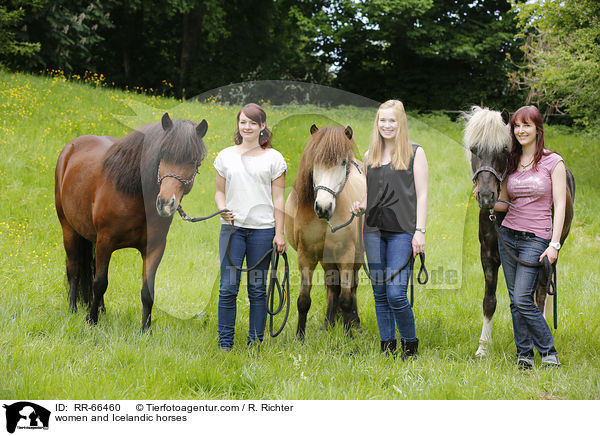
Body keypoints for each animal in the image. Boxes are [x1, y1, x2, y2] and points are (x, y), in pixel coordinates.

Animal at [54, 112, 209, 330]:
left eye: (194, 161)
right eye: (163, 154)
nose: (165, 203)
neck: (132, 193)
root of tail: (70, 148)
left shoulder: (154, 248)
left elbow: (147, 292)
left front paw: (146, 330)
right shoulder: (105, 241)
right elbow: (100, 283)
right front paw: (91, 321)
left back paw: (101, 310)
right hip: (69, 229)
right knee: (74, 268)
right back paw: (73, 309)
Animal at [284, 124, 366, 338]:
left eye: (343, 162)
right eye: (315, 160)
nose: (323, 207)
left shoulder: (346, 255)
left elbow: (346, 298)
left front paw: (348, 336)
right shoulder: (306, 255)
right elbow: (304, 300)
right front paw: (300, 337)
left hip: (356, 255)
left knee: (352, 287)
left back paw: (355, 324)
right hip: (326, 258)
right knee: (332, 287)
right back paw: (328, 324)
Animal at [464, 106, 576, 358]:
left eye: (504, 149)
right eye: (474, 149)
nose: (486, 196)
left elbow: (534, 299)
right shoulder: (487, 255)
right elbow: (489, 300)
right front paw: (482, 349)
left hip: (547, 259)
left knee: (540, 295)